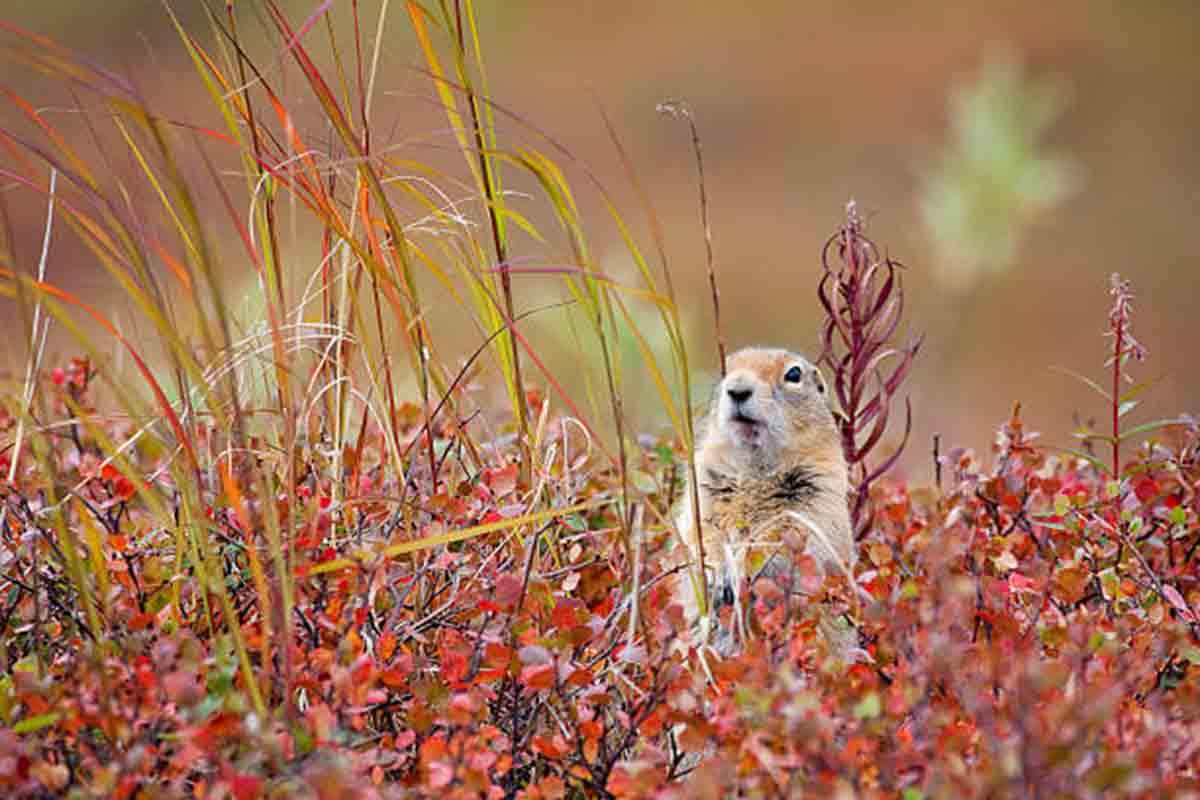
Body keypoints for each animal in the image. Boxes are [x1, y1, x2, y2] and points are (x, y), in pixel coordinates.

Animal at [672, 347, 859, 662]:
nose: (737, 389)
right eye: (724, 370)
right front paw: (719, 572)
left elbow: (785, 539)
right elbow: (701, 533)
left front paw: (740, 569)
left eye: (794, 374)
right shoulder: (703, 487)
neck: (755, 468)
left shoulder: (817, 492)